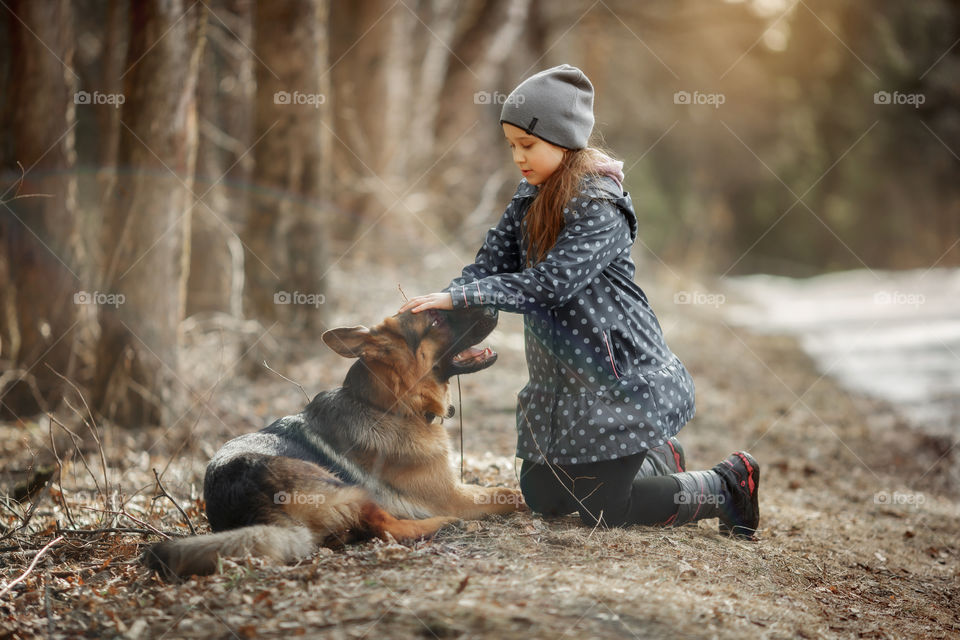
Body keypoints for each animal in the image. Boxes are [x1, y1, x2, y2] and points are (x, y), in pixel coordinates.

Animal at [144, 304, 524, 580]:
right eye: (435, 318)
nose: (493, 306)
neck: (391, 406)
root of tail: (249, 506)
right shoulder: (451, 496)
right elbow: (508, 492)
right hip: (343, 486)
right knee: (385, 526)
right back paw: (441, 524)